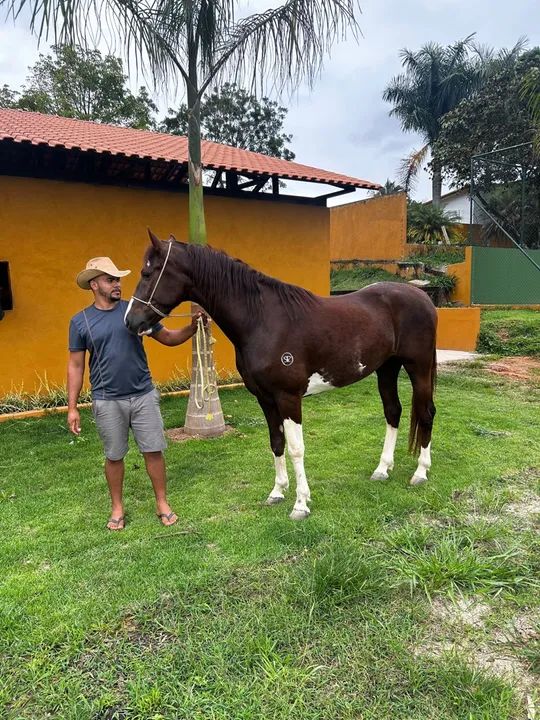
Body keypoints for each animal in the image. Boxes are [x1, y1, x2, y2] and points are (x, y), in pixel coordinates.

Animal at [125, 230, 437, 520]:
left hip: (418, 368)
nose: (131, 321)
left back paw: (420, 473)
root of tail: (423, 296)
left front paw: (300, 504)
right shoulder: (265, 399)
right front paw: (277, 492)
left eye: (148, 272)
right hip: (387, 369)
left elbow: (296, 448)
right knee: (393, 411)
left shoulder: (288, 398)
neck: (263, 319)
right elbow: (276, 443)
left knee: (426, 412)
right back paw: (382, 469)